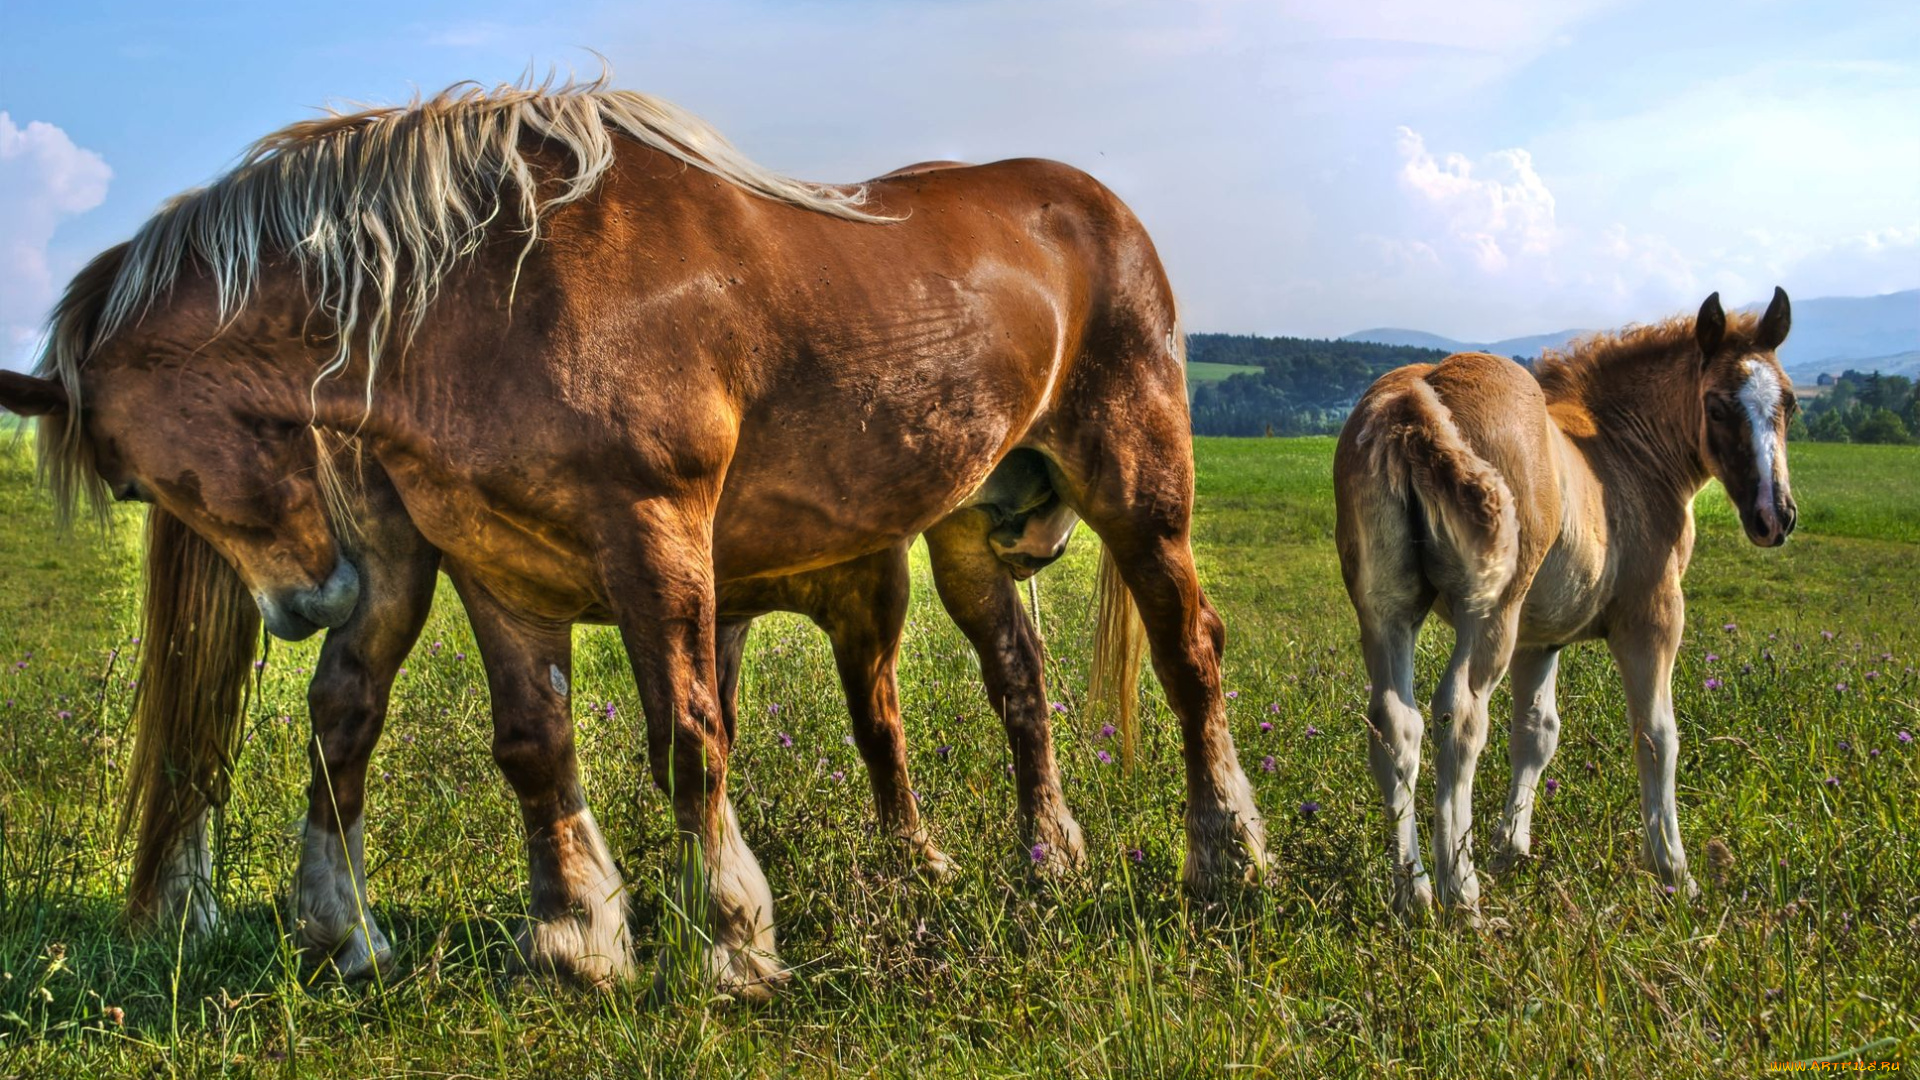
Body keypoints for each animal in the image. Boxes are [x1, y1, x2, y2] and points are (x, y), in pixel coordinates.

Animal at [0, 79, 1263, 995]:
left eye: (126, 482)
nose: (309, 605)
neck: (491, 295)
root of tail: (1094, 209)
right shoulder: (493, 563)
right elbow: (532, 746)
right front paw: (576, 942)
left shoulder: (654, 532)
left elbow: (690, 739)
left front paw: (734, 944)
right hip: (966, 533)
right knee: (1016, 685)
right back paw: (1041, 860)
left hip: (1137, 486)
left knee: (1187, 652)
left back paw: (1228, 864)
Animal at [1333, 288, 1796, 918]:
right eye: (1719, 406)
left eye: (1789, 405)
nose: (1775, 517)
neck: (1622, 450)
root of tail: (1415, 398)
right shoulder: (1652, 617)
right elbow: (1657, 734)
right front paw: (1674, 870)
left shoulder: (1540, 638)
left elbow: (1536, 733)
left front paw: (1511, 849)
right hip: (1490, 610)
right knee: (1461, 714)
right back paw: (1462, 894)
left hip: (1385, 608)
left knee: (1395, 723)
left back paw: (1415, 892)